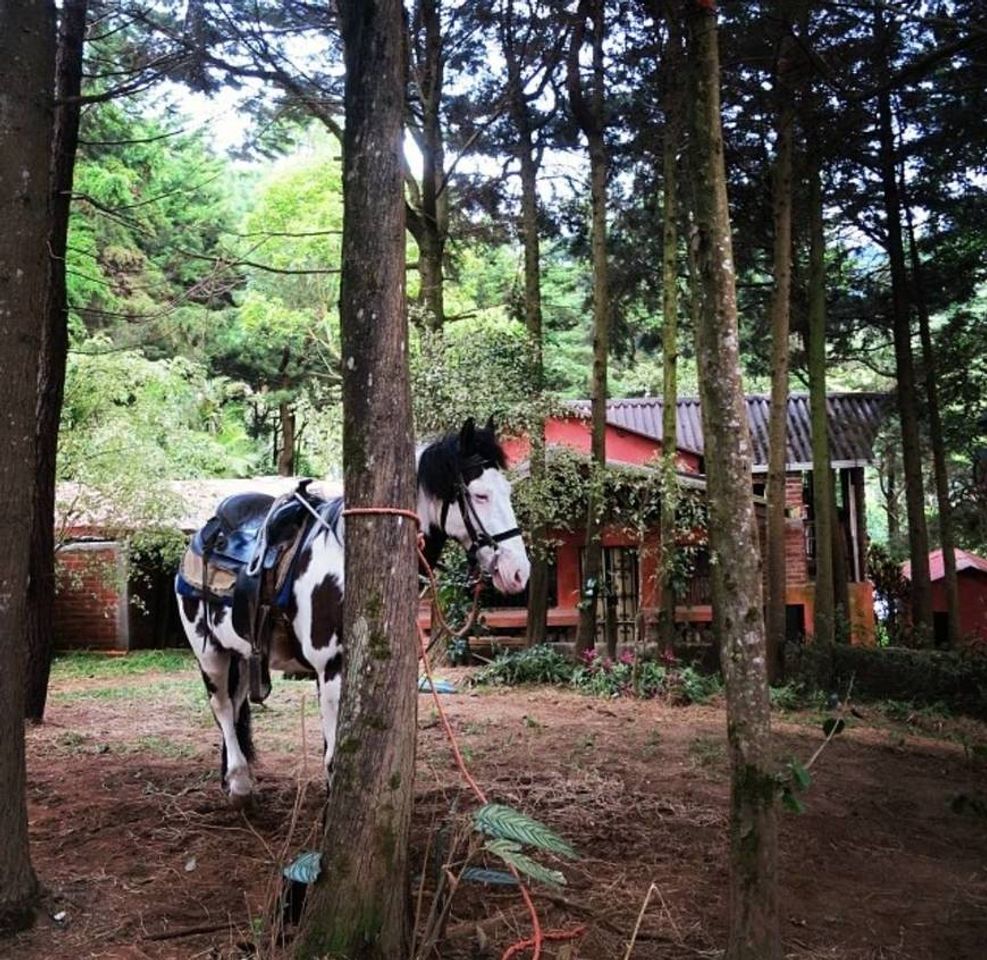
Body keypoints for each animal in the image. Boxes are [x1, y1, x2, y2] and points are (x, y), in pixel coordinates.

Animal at [178, 418, 532, 804]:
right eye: (480, 495)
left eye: (508, 491)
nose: (518, 572)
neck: (345, 557)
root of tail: (206, 531)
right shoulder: (331, 666)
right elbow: (333, 755)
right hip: (209, 653)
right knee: (223, 707)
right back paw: (240, 782)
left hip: (241, 653)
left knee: (238, 702)